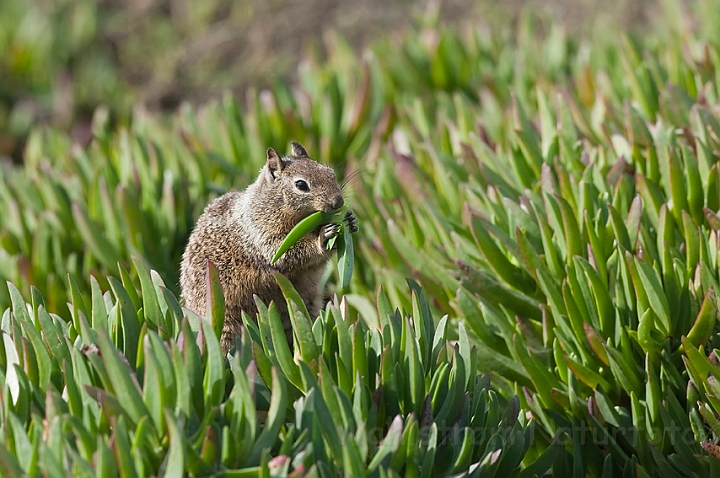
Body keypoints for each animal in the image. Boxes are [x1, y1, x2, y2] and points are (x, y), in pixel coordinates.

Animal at [181, 140, 358, 352]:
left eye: (330, 172)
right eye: (301, 184)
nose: (338, 202)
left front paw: (350, 220)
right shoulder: (262, 235)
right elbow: (284, 253)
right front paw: (322, 238)